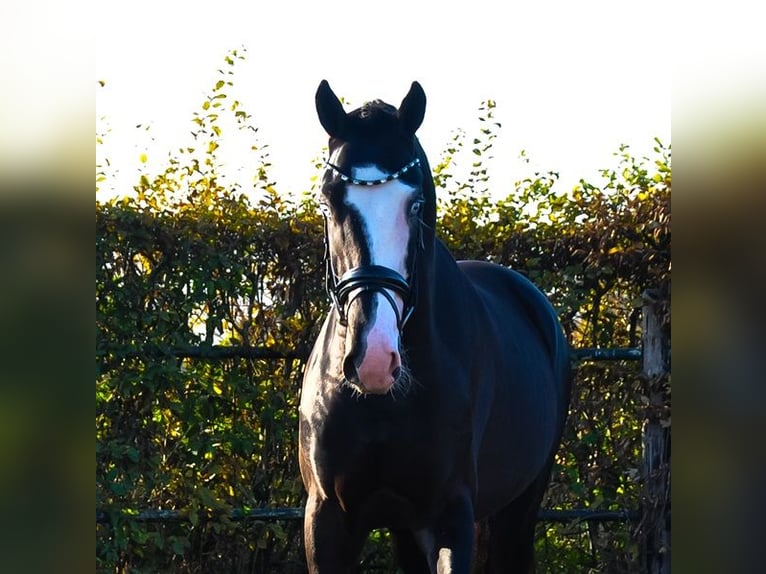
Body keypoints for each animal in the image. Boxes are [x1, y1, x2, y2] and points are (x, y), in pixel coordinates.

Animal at [296, 81, 572, 574]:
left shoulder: (449, 518)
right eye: (327, 203)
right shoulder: (327, 519)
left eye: (416, 204)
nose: (374, 360)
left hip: (520, 508)